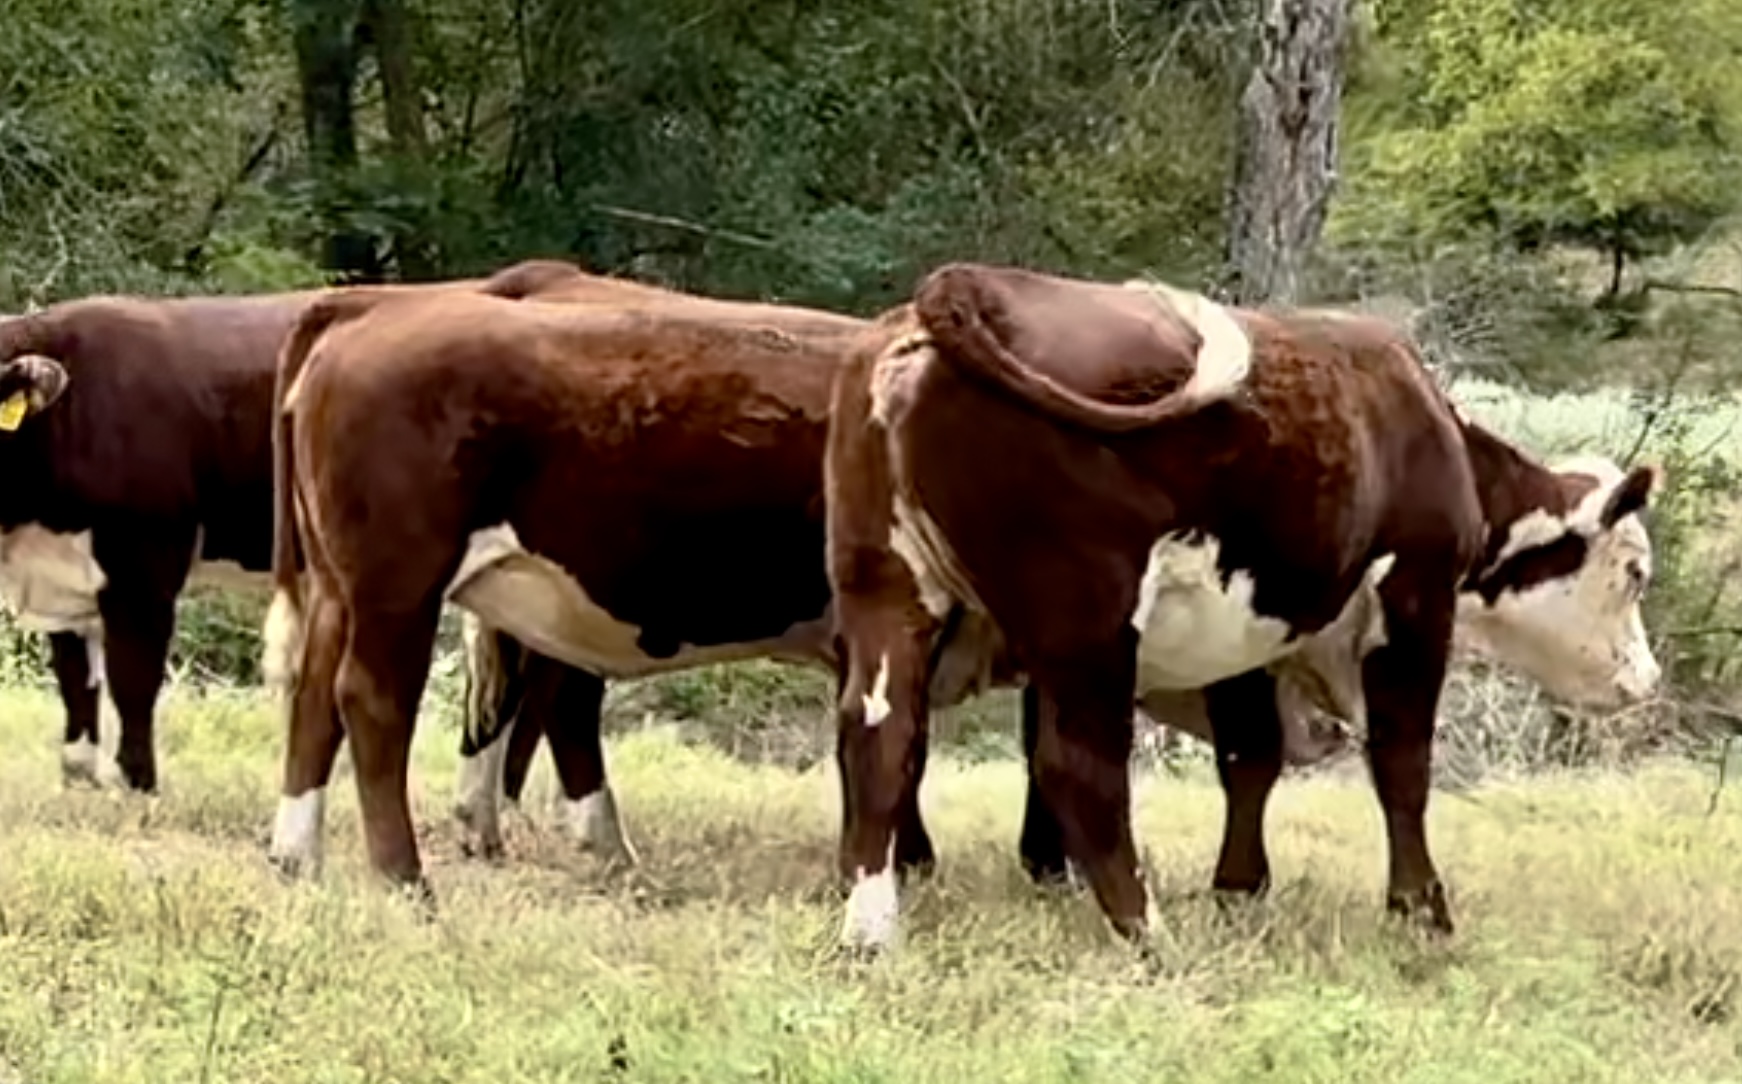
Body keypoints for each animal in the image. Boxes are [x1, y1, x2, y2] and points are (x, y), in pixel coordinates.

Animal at [822, 261, 1665, 948]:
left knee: (881, 735)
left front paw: (1239, 887)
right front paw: (1421, 910)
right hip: (1085, 614)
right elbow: (1402, 762)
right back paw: (1144, 929)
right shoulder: (1414, 598)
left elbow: (1250, 758)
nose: (1646, 679)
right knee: (1077, 765)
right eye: (1634, 572)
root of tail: (955, 290)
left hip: (886, 588)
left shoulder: (1241, 630)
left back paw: (870, 930)